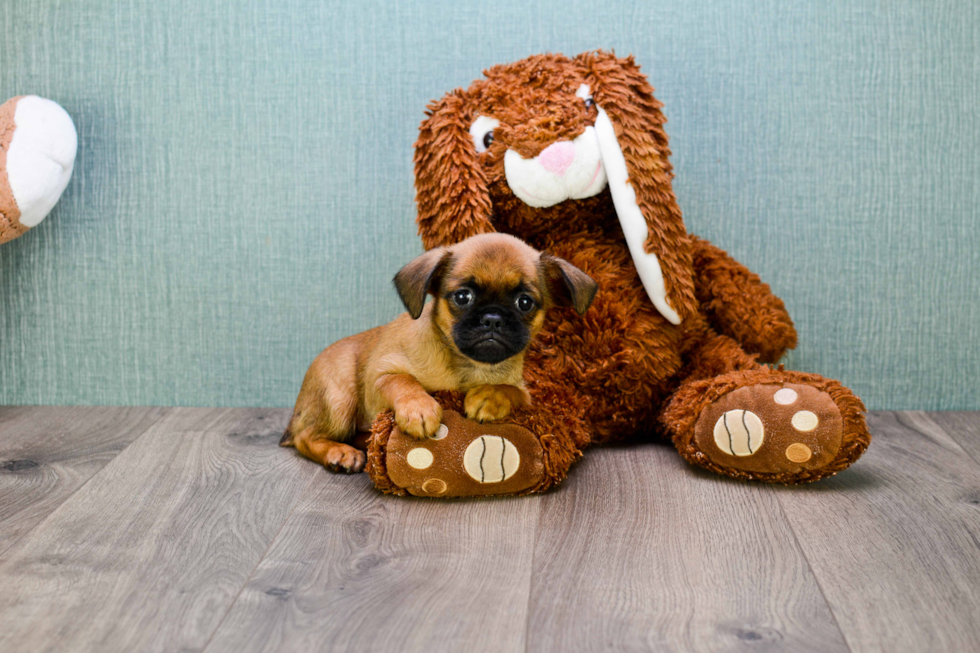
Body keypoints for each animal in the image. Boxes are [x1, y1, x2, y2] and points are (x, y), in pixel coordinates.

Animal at [282, 232, 596, 472]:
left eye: (525, 302)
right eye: (463, 296)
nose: (493, 318)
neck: (468, 367)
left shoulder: (524, 392)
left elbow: (510, 390)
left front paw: (489, 396)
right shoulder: (378, 377)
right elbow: (402, 380)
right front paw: (419, 408)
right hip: (339, 400)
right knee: (304, 438)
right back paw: (340, 453)